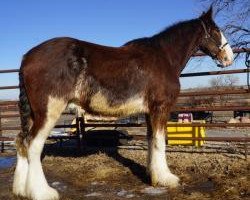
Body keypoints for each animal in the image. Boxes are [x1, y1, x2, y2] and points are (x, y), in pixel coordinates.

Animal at [13, 7, 232, 199]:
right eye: (215, 30)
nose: (229, 57)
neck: (164, 57)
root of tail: (27, 58)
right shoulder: (160, 108)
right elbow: (160, 141)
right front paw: (166, 178)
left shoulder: (149, 111)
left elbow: (151, 140)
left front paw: (153, 175)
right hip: (48, 111)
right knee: (33, 145)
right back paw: (42, 192)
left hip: (32, 114)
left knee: (21, 141)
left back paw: (21, 190)